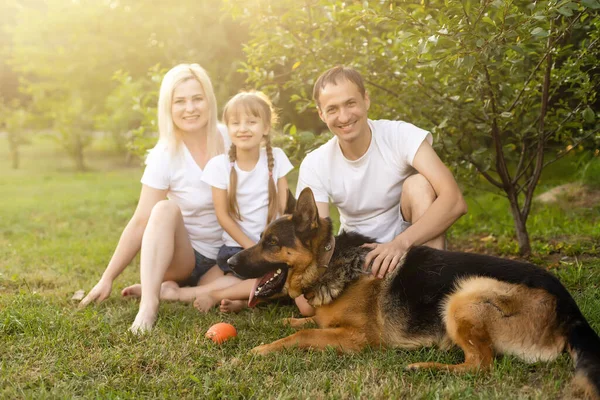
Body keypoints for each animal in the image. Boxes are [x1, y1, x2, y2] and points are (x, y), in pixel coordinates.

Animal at [229, 189, 600, 398]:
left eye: (271, 243)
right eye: (262, 239)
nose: (230, 262)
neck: (329, 262)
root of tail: (570, 308)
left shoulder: (358, 339)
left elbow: (301, 335)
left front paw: (257, 351)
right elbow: (305, 323)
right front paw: (286, 322)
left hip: (463, 294)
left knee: (482, 365)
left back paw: (425, 367)